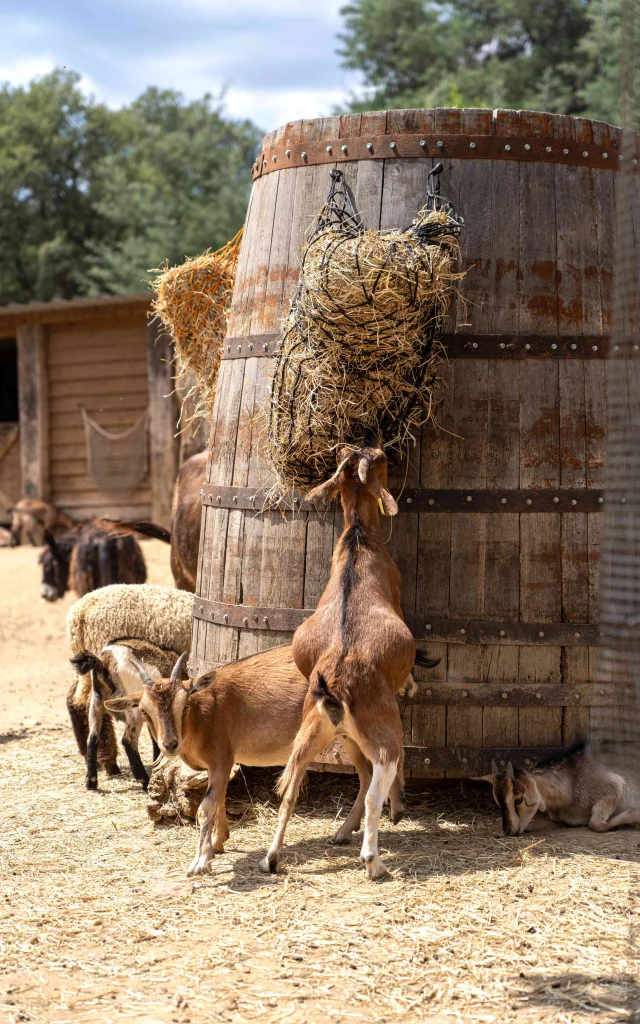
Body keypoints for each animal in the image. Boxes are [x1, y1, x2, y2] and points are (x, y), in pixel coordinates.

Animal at [257, 442, 425, 880]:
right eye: (381, 458)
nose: (390, 452)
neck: (357, 540)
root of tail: (334, 688)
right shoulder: (398, 590)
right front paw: (412, 684)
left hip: (320, 734)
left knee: (291, 792)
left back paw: (273, 857)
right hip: (382, 734)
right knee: (374, 789)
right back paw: (374, 860)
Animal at [479, 745, 638, 839]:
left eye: (518, 800)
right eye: (498, 802)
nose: (507, 830)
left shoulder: (613, 786)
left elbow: (595, 823)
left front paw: (636, 814)